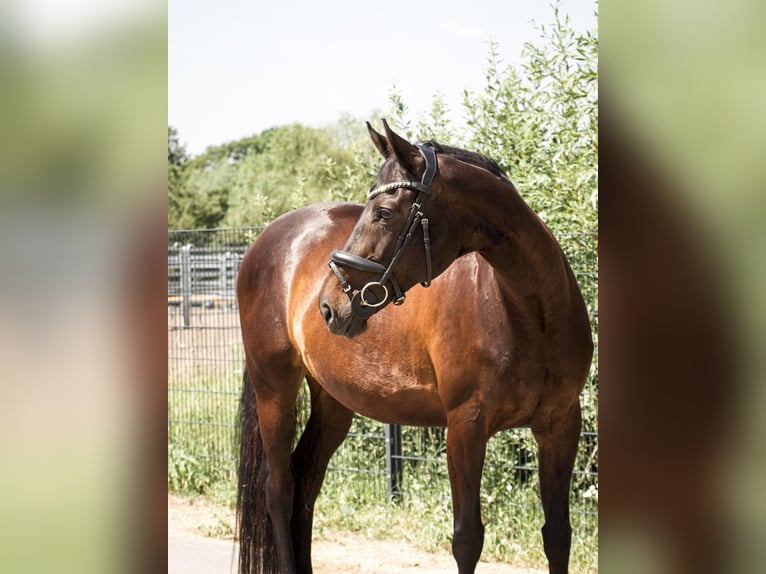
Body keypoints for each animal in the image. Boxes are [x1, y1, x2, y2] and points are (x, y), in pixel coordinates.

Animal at [235, 120, 593, 574]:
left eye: (385, 212)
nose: (329, 305)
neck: (533, 316)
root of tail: (265, 239)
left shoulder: (560, 425)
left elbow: (558, 534)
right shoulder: (465, 425)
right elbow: (467, 539)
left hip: (333, 403)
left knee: (306, 483)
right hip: (274, 388)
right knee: (279, 487)